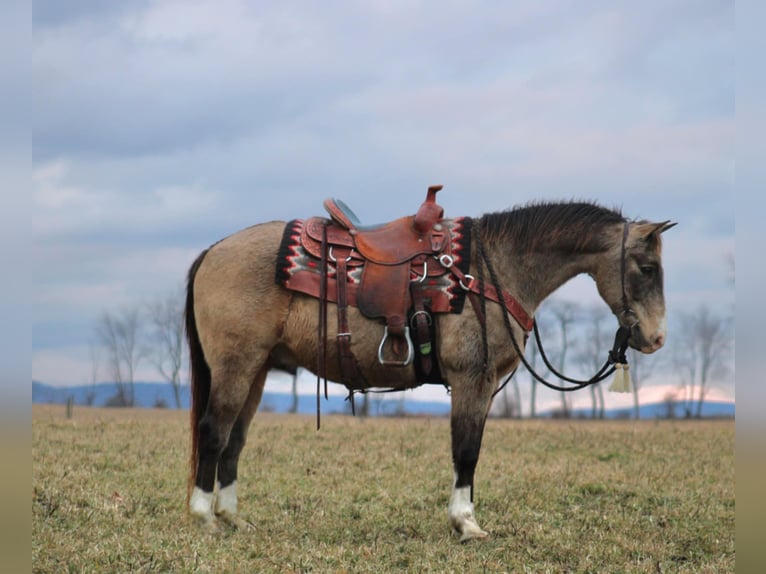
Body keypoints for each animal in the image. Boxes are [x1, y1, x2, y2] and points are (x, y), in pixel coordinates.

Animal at [183, 187, 676, 544]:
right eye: (647, 268)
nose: (656, 339)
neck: (491, 270)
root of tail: (213, 250)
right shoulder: (472, 380)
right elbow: (466, 450)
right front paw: (466, 523)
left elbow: (470, 450)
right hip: (236, 366)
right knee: (214, 431)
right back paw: (203, 516)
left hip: (257, 370)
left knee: (235, 439)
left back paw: (231, 517)